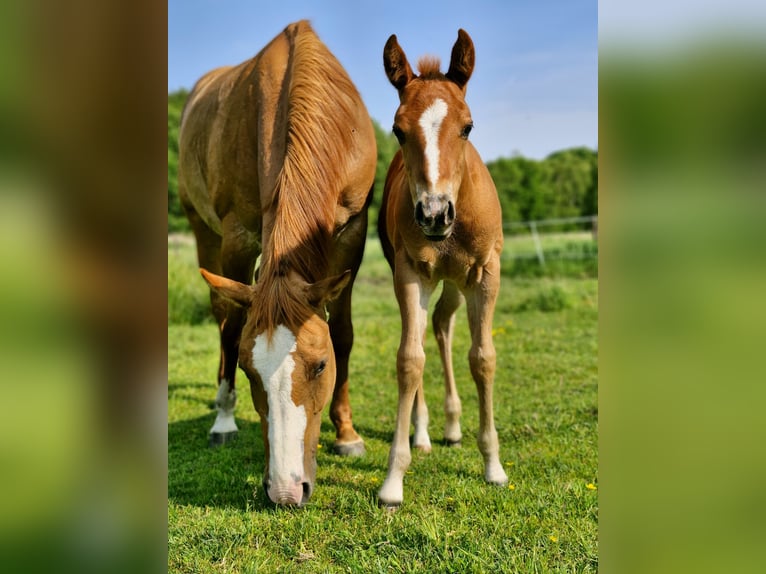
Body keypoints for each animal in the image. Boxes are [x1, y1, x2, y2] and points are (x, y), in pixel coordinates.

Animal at [177, 20, 376, 506]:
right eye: (250, 370)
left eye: (320, 365)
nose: (286, 490)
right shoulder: (238, 233)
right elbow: (233, 326)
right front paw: (224, 419)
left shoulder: (354, 231)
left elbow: (344, 332)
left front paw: (347, 434)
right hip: (203, 229)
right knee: (222, 314)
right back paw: (223, 410)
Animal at [377, 30, 509, 507]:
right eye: (398, 130)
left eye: (467, 127)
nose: (434, 214)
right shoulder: (411, 273)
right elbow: (409, 360)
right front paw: (393, 480)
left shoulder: (486, 273)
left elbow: (483, 358)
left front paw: (493, 466)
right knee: (427, 333)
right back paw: (426, 433)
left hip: (456, 281)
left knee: (443, 325)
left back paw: (453, 426)